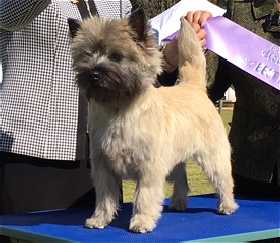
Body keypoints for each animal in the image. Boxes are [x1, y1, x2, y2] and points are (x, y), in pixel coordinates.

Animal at [69, 11, 237, 234]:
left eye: (116, 56)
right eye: (87, 55)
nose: (93, 73)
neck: (119, 109)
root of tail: (194, 88)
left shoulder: (149, 168)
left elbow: (144, 196)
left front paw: (141, 222)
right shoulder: (103, 166)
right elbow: (104, 198)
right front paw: (99, 219)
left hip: (212, 157)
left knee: (224, 180)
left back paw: (227, 205)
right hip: (175, 159)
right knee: (182, 178)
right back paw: (179, 203)